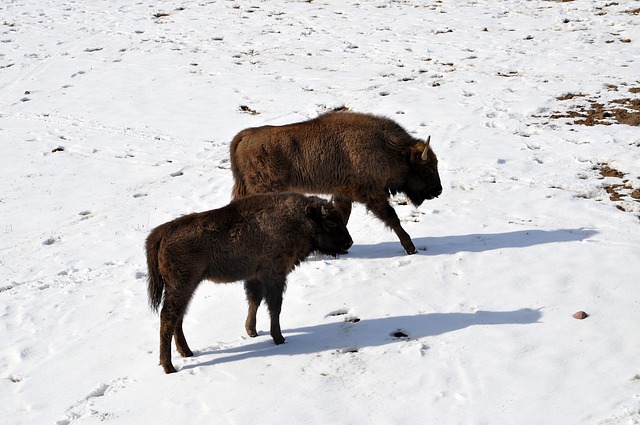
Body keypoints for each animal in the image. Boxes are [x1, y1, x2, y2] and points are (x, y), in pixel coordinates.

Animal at [145, 192, 353, 373]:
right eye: (330, 222)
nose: (348, 242)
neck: (298, 219)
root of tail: (163, 232)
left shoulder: (256, 276)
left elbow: (255, 300)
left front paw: (252, 331)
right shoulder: (274, 275)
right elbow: (274, 307)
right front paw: (279, 338)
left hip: (186, 287)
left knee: (178, 317)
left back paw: (187, 352)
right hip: (182, 285)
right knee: (169, 317)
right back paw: (169, 367)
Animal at [230, 111, 442, 255]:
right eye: (427, 169)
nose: (438, 190)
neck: (390, 149)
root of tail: (244, 137)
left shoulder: (343, 194)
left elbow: (343, 216)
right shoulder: (372, 194)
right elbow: (392, 218)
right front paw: (411, 248)